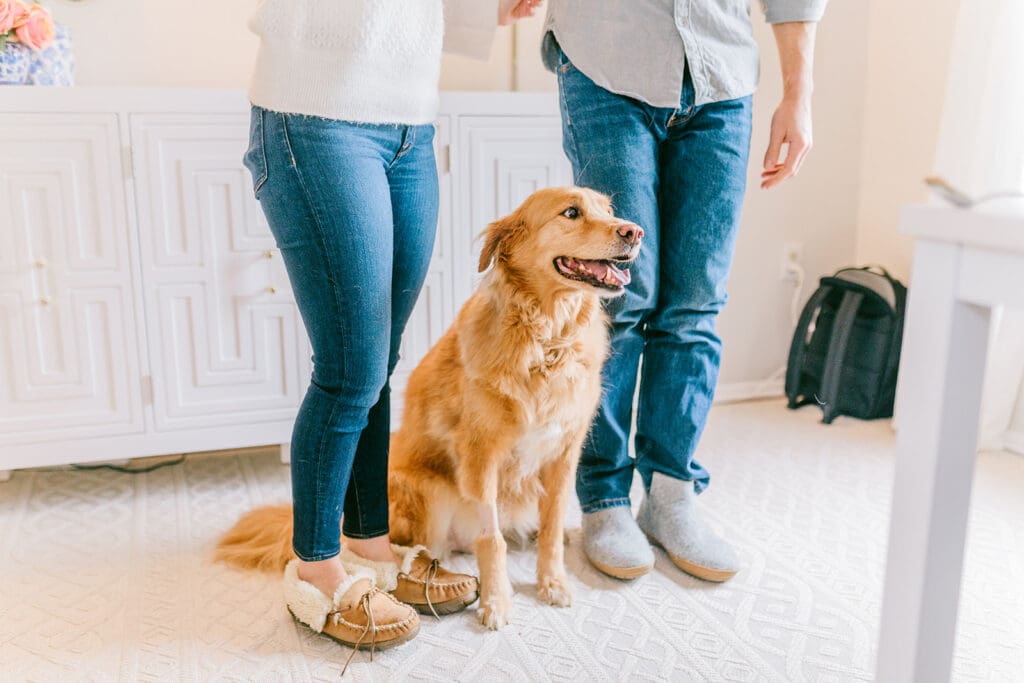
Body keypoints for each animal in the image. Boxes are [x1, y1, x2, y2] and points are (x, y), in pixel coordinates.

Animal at [216, 185, 638, 630]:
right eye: (571, 213)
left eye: (608, 209)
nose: (635, 232)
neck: (547, 339)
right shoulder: (481, 456)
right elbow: (492, 539)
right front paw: (497, 601)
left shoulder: (563, 452)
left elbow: (553, 526)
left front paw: (552, 580)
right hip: (432, 493)